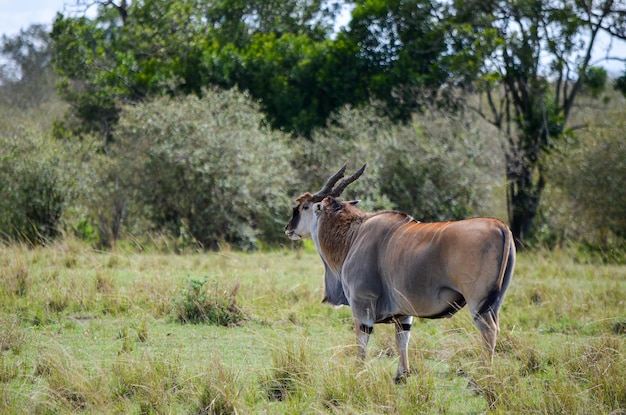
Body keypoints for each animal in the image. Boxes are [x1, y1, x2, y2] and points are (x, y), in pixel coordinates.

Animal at [286, 163, 516, 384]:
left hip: (478, 303)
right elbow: (402, 339)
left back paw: (483, 376)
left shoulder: (362, 305)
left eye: (304, 207)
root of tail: (501, 226)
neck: (353, 235)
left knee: (489, 331)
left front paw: (358, 374)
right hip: (494, 303)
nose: (288, 228)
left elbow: (362, 341)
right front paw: (401, 376)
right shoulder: (403, 313)